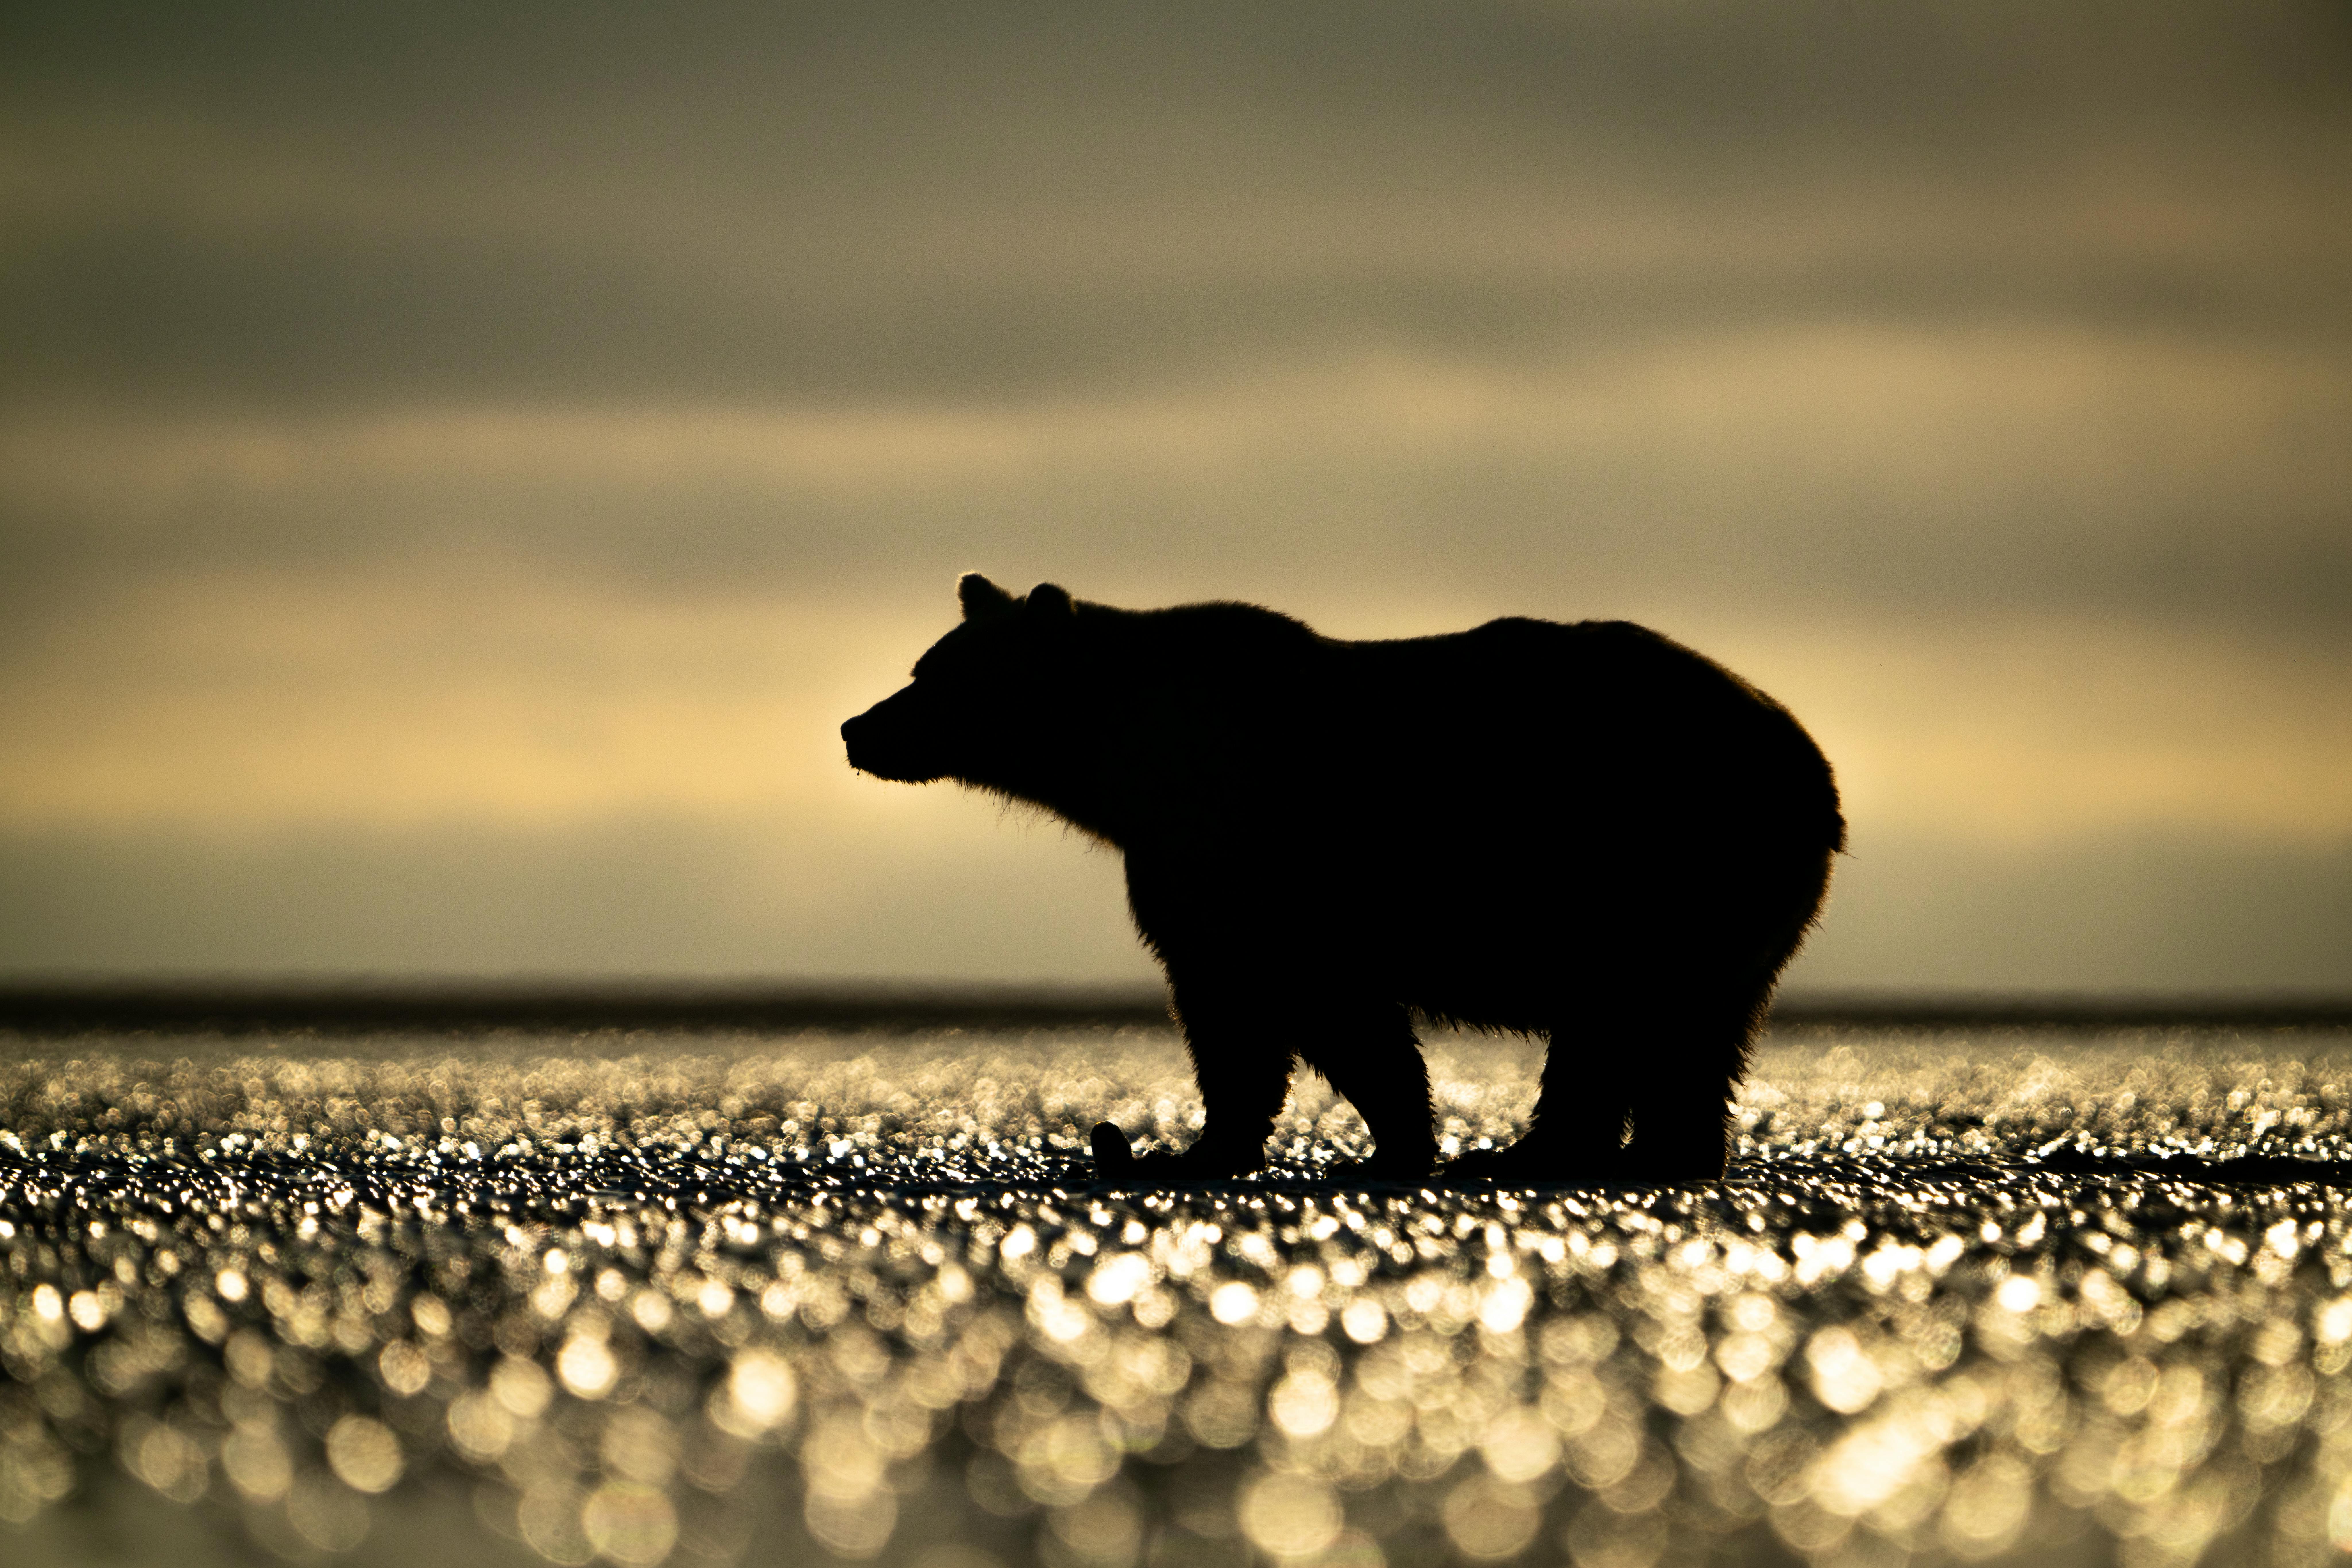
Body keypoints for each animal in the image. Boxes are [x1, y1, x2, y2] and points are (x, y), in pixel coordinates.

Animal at [841, 574, 1843, 1184]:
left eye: (935, 675)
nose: (858, 725)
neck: (1121, 772)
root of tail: (1811, 761)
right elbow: (1274, 1013)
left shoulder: (1247, 846)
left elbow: (1288, 1006)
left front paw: (1200, 1148)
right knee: (1693, 1031)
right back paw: (1658, 1152)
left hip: (1655, 858)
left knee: (1621, 1018)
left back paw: (1537, 1152)